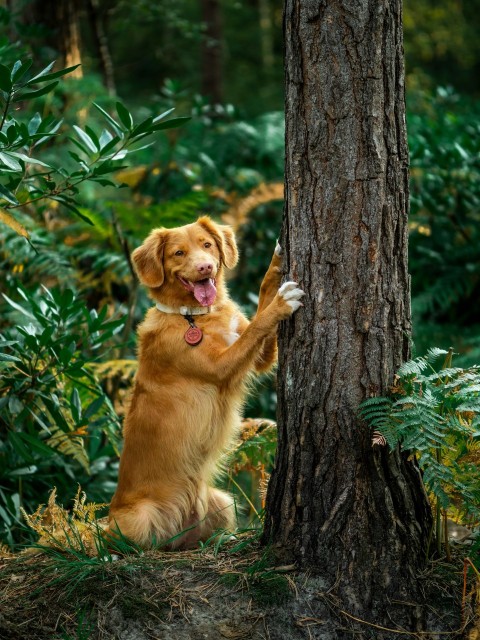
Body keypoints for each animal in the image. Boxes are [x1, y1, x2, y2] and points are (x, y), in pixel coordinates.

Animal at [109, 218, 304, 548]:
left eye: (207, 245)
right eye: (178, 253)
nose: (205, 267)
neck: (193, 316)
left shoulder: (259, 357)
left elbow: (259, 302)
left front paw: (276, 263)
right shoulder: (222, 366)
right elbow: (257, 325)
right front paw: (281, 303)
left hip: (222, 502)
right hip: (140, 518)